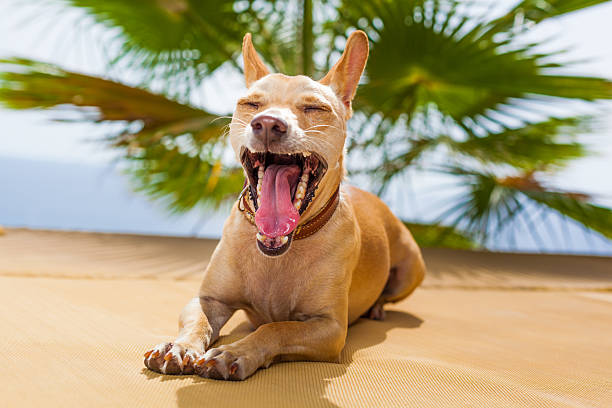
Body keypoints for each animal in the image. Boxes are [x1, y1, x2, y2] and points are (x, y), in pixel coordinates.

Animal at [143, 30, 426, 380]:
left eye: (315, 108)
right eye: (251, 104)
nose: (267, 124)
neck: (277, 254)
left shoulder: (329, 328)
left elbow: (276, 328)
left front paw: (234, 352)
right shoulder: (208, 299)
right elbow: (198, 324)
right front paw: (180, 347)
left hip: (412, 269)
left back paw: (377, 306)